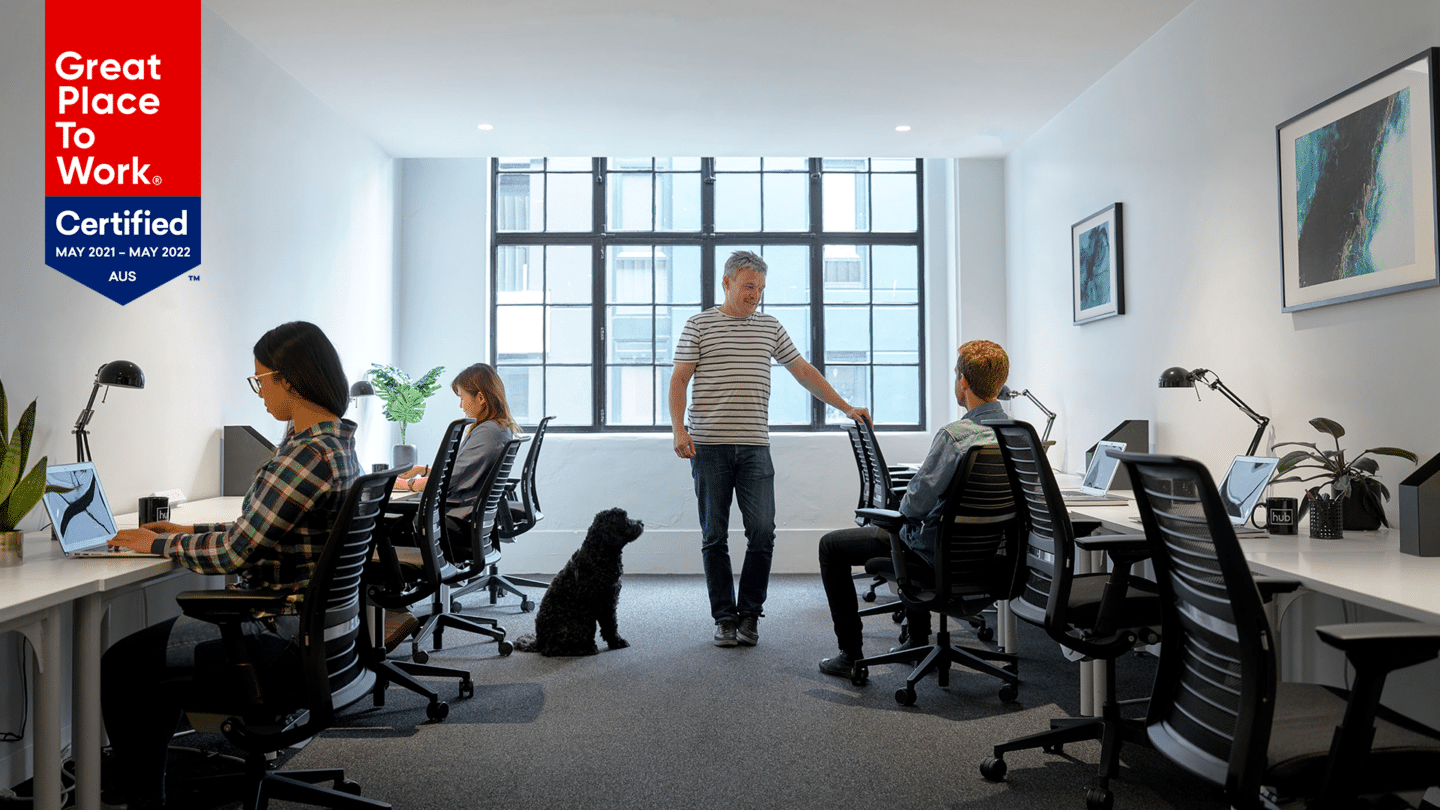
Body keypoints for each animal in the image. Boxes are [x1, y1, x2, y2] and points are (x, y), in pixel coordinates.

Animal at [509, 507, 639, 651]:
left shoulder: (609, 601)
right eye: (625, 519)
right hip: (575, 627)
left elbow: (610, 627)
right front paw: (616, 642)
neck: (597, 555)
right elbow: (610, 626)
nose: (642, 523)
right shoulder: (606, 603)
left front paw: (616, 642)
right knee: (554, 649)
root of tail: (539, 641)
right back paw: (587, 649)